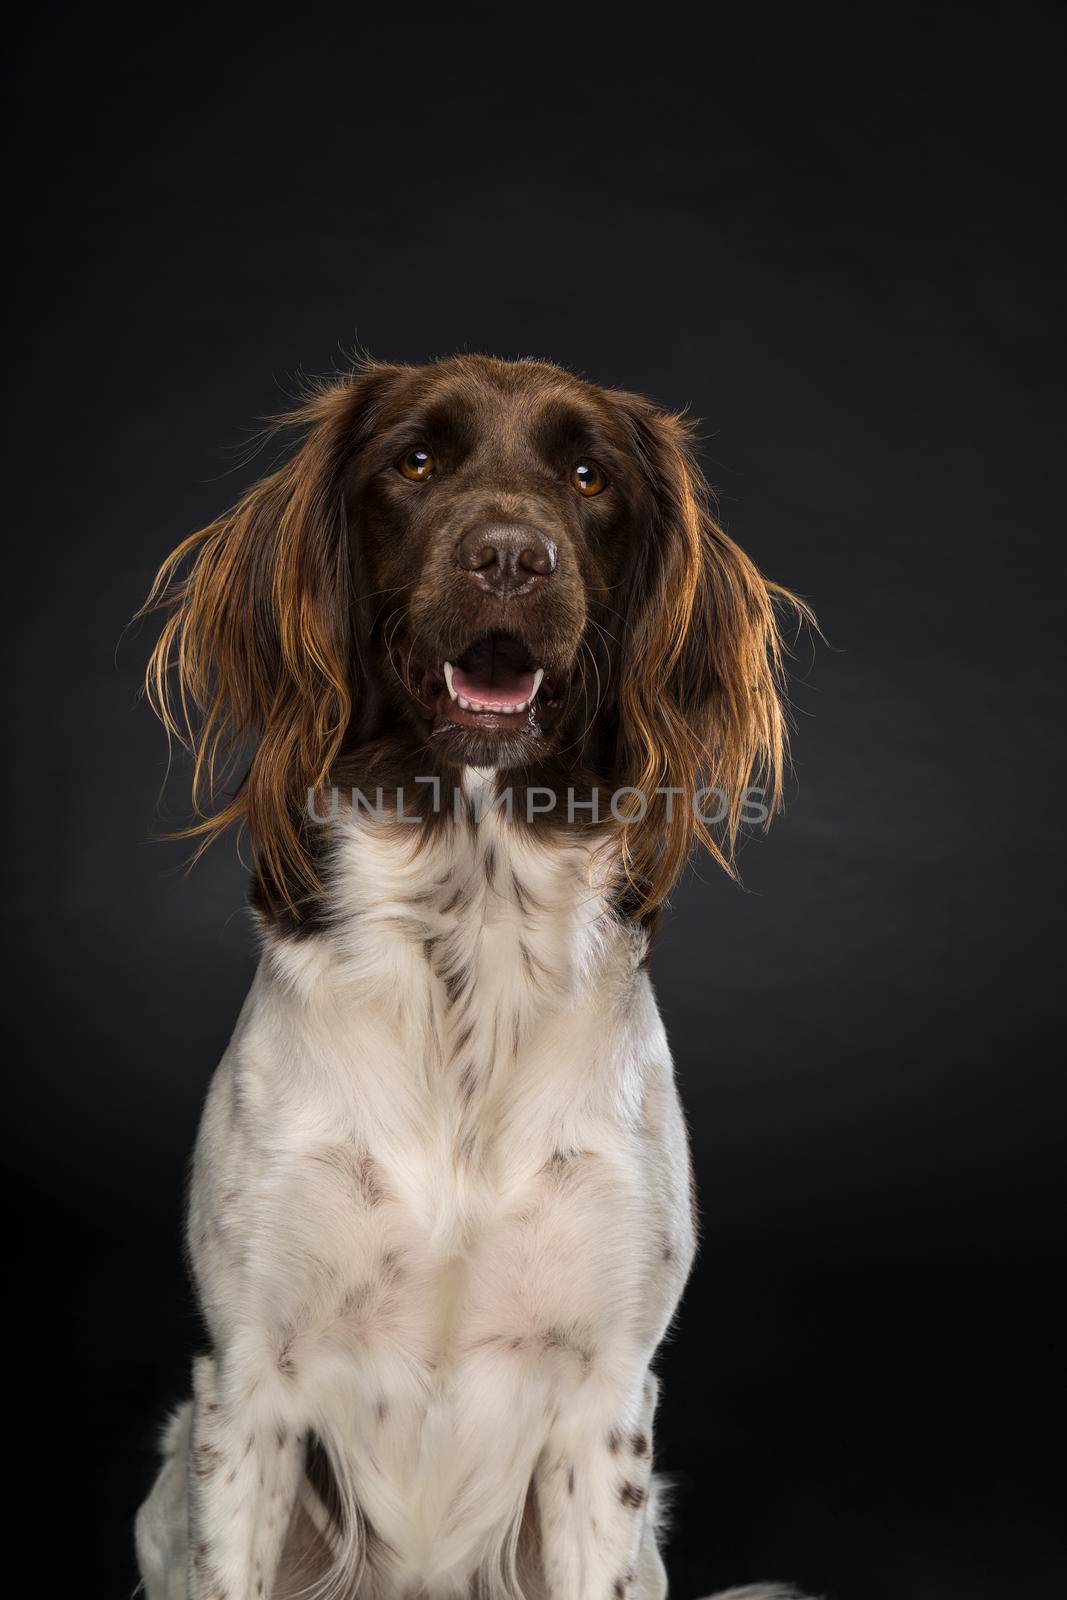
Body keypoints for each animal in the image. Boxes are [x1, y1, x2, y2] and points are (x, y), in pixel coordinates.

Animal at [135, 353, 809, 1600]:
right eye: (413, 461)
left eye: (589, 477)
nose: (509, 556)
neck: (471, 943)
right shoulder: (247, 1382)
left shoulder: (604, 1397)